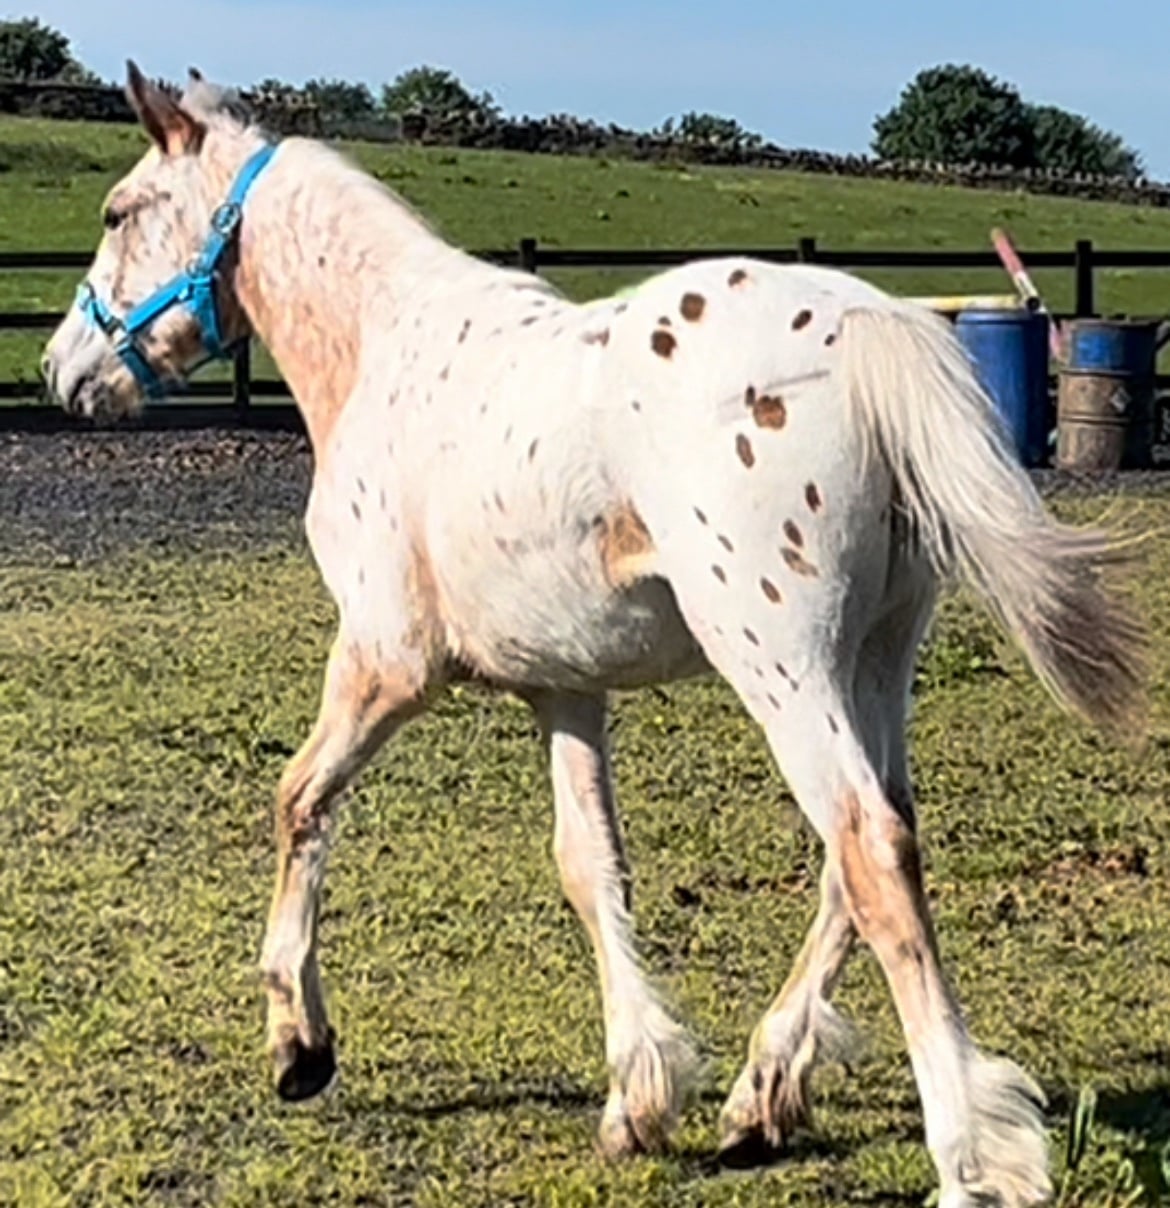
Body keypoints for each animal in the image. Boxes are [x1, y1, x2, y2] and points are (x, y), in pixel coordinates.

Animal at [41, 62, 1147, 1207]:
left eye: (117, 213)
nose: (59, 371)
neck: (384, 352)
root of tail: (867, 329)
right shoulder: (564, 687)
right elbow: (590, 862)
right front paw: (637, 1097)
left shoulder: (386, 663)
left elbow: (298, 800)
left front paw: (299, 1045)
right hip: (877, 659)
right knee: (871, 844)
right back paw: (759, 1098)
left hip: (782, 664)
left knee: (868, 845)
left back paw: (966, 1157)